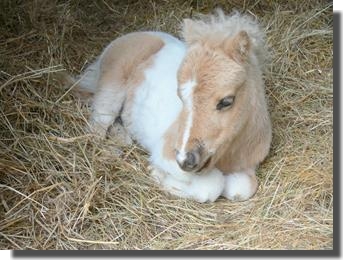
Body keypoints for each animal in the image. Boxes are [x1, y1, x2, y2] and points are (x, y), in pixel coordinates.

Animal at [72, 10, 272, 203]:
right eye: (181, 97)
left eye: (226, 101)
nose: (185, 160)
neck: (228, 156)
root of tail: (132, 35)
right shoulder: (166, 153)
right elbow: (211, 187)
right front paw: (157, 174)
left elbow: (243, 188)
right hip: (110, 91)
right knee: (96, 128)